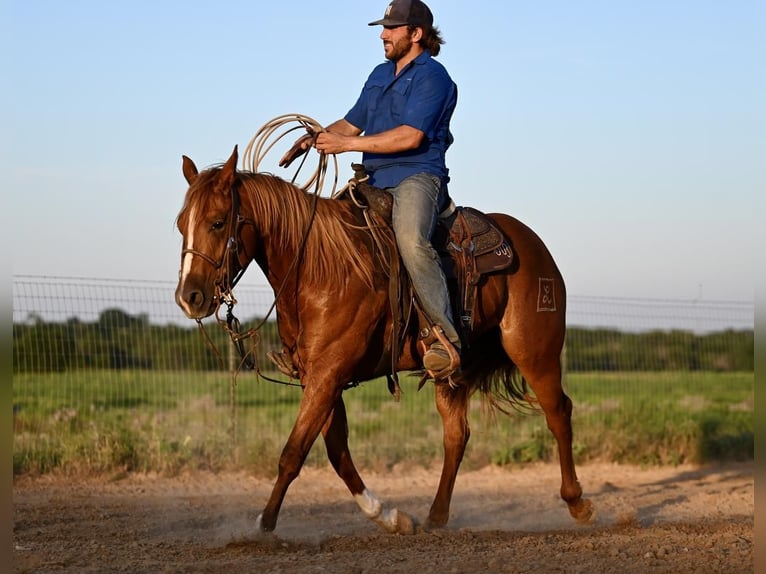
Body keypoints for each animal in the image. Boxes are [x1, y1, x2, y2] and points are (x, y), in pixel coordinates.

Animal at [174, 147, 592, 536]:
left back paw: (577, 503)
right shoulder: (318, 378)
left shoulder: (328, 375)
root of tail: (531, 244)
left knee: (558, 412)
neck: (320, 267)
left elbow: (293, 452)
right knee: (457, 435)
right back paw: (436, 516)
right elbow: (337, 450)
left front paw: (263, 526)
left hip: (535, 352)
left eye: (217, 222)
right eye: (181, 224)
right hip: (453, 372)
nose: (189, 297)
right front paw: (391, 517)